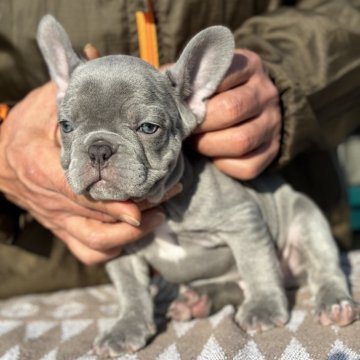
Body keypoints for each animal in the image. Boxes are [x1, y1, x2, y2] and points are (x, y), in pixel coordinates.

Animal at [36, 15, 358, 358]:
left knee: (324, 265)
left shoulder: (243, 221)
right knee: (234, 285)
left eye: (148, 128)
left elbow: (256, 265)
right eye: (65, 126)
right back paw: (196, 301)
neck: (161, 205)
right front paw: (126, 326)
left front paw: (263, 307)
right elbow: (130, 289)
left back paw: (334, 304)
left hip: (307, 219)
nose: (98, 149)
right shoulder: (119, 249)